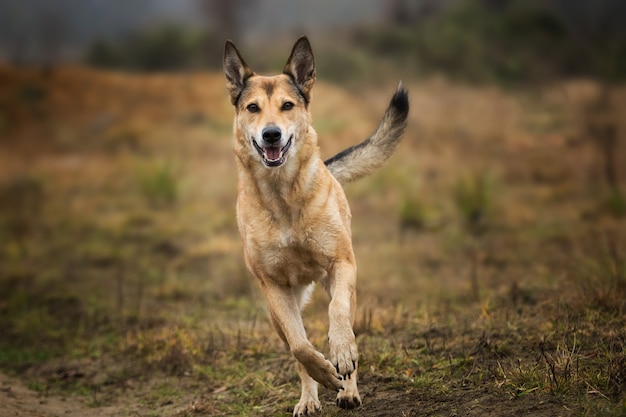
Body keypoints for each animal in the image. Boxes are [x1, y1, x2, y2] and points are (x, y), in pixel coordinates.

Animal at [222, 36, 408, 416]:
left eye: (287, 105)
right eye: (252, 108)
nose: (272, 134)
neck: (283, 196)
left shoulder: (342, 265)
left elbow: (337, 316)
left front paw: (341, 356)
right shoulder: (275, 288)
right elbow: (301, 347)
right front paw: (322, 372)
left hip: (339, 285)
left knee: (345, 319)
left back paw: (348, 387)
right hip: (278, 309)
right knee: (298, 347)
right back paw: (310, 397)